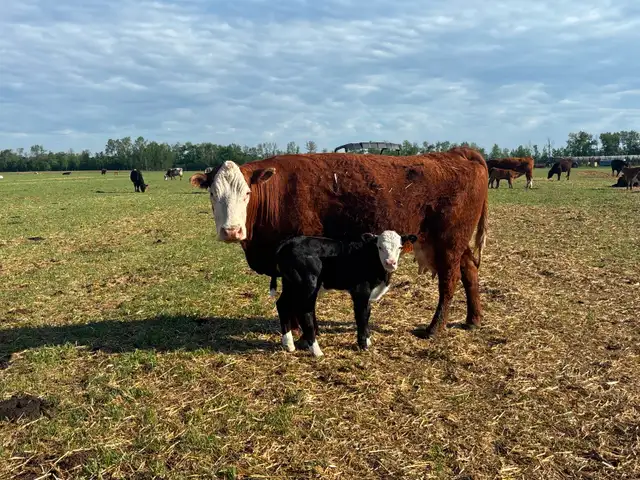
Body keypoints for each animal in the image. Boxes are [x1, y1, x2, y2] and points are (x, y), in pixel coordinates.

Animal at [189, 148, 489, 338]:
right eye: (213, 193)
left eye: (247, 193)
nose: (231, 231)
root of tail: (458, 152)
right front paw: (295, 329)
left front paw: (301, 331)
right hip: (456, 244)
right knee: (470, 271)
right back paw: (472, 320)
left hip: (449, 243)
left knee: (449, 282)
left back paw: (434, 329)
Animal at [275, 231, 417, 356]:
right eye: (379, 247)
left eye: (400, 247)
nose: (390, 263)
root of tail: (289, 242)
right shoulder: (360, 291)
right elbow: (361, 315)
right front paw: (363, 344)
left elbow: (367, 314)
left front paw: (368, 340)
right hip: (308, 285)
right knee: (305, 312)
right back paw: (316, 351)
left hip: (290, 284)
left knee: (282, 305)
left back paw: (289, 344)